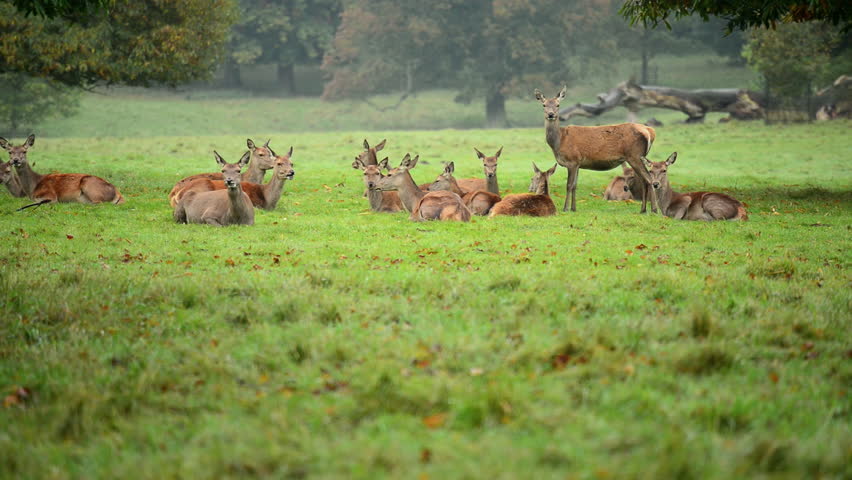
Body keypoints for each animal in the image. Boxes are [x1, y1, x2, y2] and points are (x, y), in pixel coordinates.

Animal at [532, 86, 660, 214]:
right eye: (544, 105)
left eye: (558, 105)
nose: (551, 114)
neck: (559, 141)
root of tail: (650, 131)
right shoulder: (578, 163)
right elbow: (575, 185)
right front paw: (574, 208)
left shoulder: (572, 160)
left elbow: (569, 185)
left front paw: (565, 208)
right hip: (637, 157)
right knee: (644, 180)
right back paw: (643, 209)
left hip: (635, 155)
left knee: (649, 179)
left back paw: (654, 209)